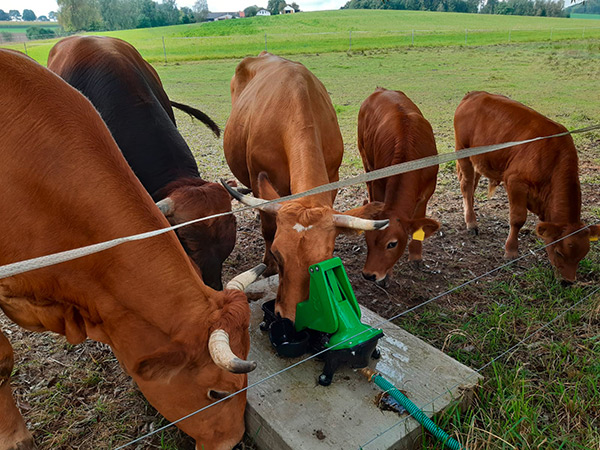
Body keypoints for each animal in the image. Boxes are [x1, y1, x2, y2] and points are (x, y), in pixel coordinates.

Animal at [223, 51, 386, 320]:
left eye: (324, 259)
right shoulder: (261, 180)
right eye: (277, 254)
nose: (287, 316)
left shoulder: (332, 178)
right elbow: (268, 228)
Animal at [356, 86, 440, 286]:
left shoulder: (427, 192)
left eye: (392, 244)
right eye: (367, 238)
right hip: (365, 158)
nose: (369, 275)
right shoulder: (379, 183)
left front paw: (416, 256)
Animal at [454, 90, 600, 282]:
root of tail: (475, 94)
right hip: (463, 151)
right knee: (466, 185)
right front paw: (511, 252)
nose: (567, 283)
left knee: (472, 187)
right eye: (559, 252)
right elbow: (517, 219)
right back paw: (471, 223)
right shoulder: (515, 182)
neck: (552, 158)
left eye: (582, 256)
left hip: (478, 160)